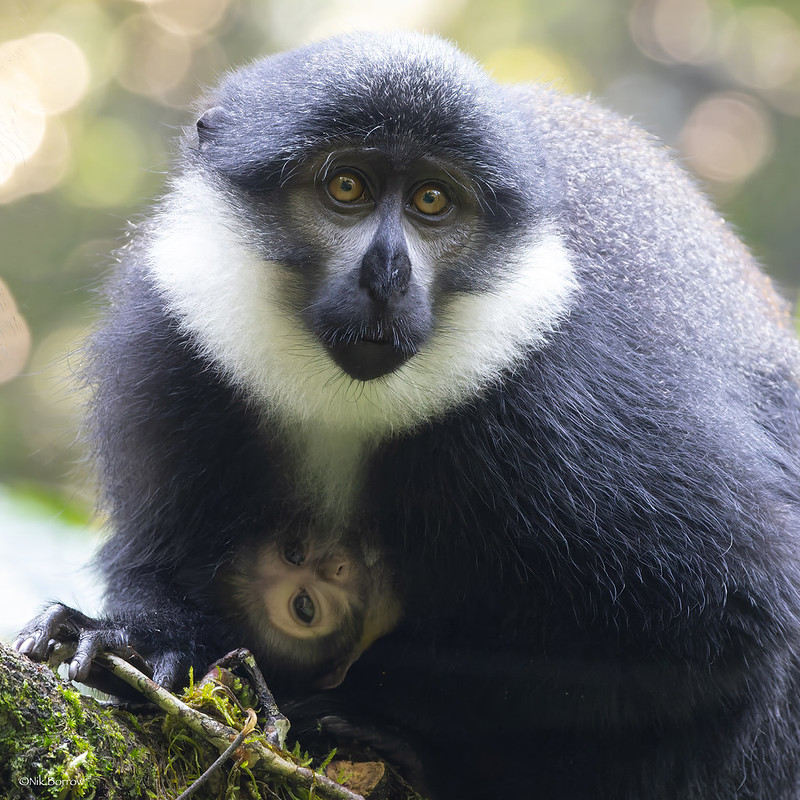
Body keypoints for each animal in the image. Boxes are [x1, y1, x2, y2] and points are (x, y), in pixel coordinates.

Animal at [14, 30, 800, 799]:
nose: (387, 272)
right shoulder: (171, 343)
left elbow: (728, 630)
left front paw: (360, 711)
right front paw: (136, 643)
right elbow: (156, 559)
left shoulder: (567, 410)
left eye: (431, 200)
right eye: (347, 187)